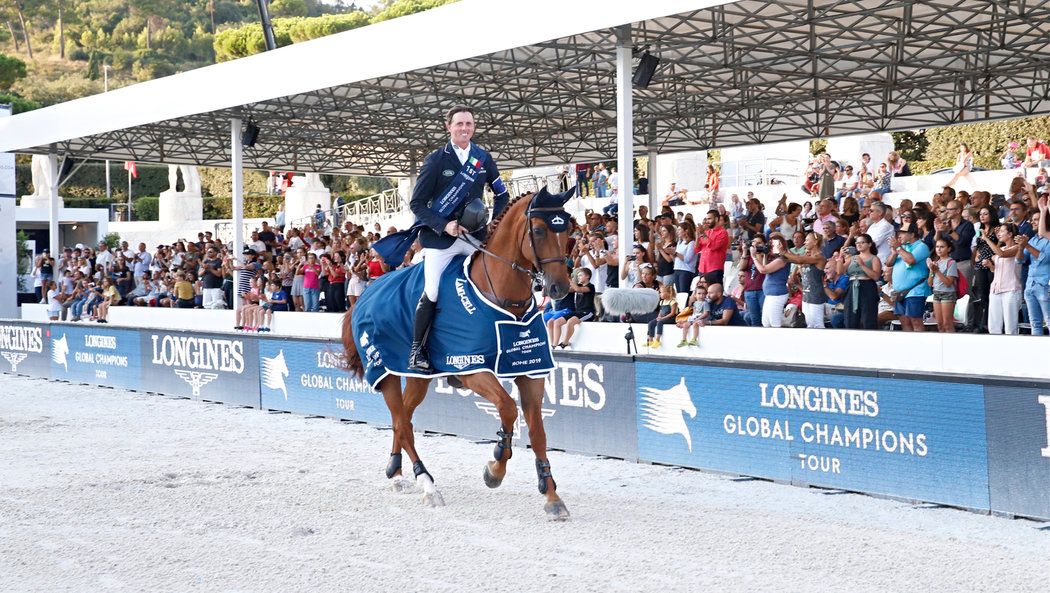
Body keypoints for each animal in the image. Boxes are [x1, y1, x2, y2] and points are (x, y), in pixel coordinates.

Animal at [342, 186, 575, 520]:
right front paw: (495, 467)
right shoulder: (471, 369)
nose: (559, 288)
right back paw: (426, 484)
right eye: (540, 230)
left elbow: (538, 432)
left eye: (568, 229)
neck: (503, 298)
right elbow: (508, 409)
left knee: (404, 419)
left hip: (418, 378)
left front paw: (552, 496)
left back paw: (396, 472)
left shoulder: (531, 370)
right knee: (403, 423)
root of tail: (365, 294)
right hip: (384, 372)